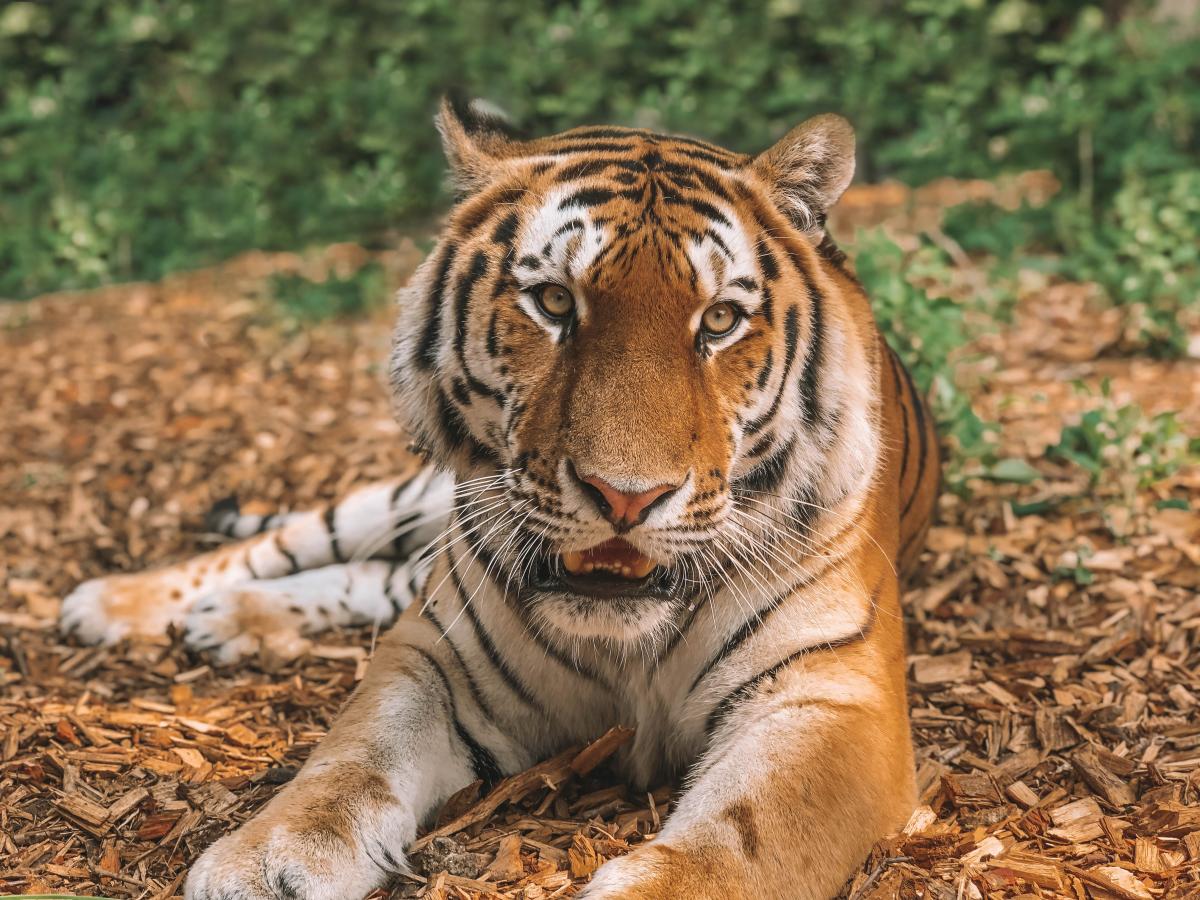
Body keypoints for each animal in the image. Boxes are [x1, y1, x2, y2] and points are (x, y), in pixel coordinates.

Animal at [59, 98, 940, 900]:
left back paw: (226, 621)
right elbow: (351, 759)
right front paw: (269, 861)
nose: (626, 498)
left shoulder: (829, 699)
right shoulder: (437, 657)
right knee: (281, 545)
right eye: (553, 303)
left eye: (720, 320)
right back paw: (117, 603)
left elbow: (744, 838)